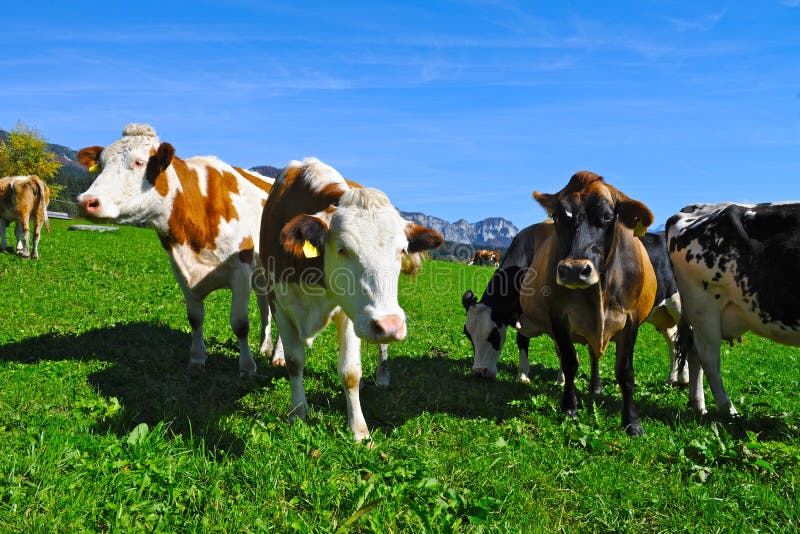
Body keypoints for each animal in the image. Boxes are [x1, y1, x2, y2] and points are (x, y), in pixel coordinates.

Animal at [75, 124, 282, 378]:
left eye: (139, 162)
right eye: (102, 164)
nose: (86, 202)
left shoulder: (240, 270)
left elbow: (240, 323)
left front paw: (247, 367)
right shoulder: (181, 271)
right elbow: (195, 319)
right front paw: (196, 359)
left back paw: (278, 355)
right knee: (265, 306)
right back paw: (265, 346)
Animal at [260, 157, 444, 442]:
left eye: (402, 250)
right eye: (343, 249)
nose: (389, 325)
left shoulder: (349, 315)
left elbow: (350, 372)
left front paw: (359, 429)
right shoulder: (278, 299)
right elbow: (295, 362)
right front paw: (298, 413)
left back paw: (381, 376)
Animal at [462, 226, 688, 390]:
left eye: (493, 335)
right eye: (468, 335)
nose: (479, 372)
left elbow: (562, 349)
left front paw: (562, 379)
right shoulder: (523, 315)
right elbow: (522, 341)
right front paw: (523, 374)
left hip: (680, 307)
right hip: (663, 315)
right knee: (675, 342)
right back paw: (675, 378)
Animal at [520, 172, 656, 436]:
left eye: (607, 217)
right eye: (558, 216)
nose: (574, 270)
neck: (599, 291)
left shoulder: (631, 319)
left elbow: (625, 372)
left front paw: (632, 422)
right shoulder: (558, 316)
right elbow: (570, 362)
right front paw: (569, 407)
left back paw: (596, 387)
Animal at [664, 202, 800, 418]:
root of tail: (693, 208)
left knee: (693, 350)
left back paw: (698, 404)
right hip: (704, 306)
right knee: (708, 355)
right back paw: (728, 409)